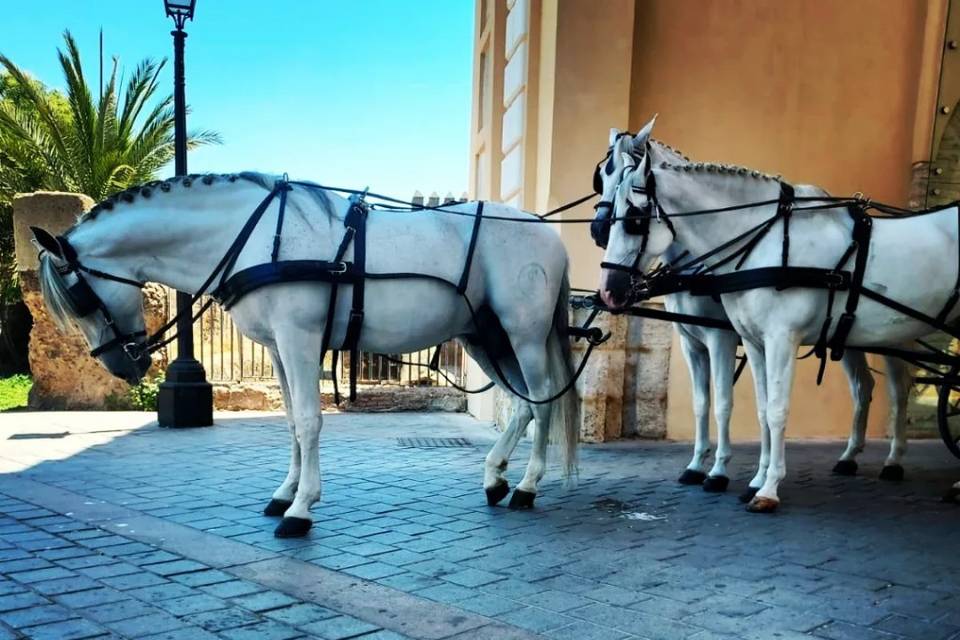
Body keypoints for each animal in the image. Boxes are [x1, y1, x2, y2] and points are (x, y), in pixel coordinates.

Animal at [31, 172, 576, 536]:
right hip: (485, 339)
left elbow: (311, 421)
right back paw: (496, 476)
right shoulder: (277, 347)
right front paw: (285, 493)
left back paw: (527, 485)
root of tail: (546, 231)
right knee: (524, 404)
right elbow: (293, 421)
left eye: (79, 299)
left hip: (523, 334)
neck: (252, 238)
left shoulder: (299, 338)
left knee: (544, 399)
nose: (123, 364)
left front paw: (301, 509)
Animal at [600, 124, 936, 516]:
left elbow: (724, 403)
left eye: (633, 216)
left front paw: (719, 472)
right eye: (603, 175)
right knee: (862, 387)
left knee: (898, 391)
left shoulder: (722, 340)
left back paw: (894, 460)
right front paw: (698, 465)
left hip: (895, 337)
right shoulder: (693, 343)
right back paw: (850, 456)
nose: (597, 231)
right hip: (851, 333)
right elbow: (703, 404)